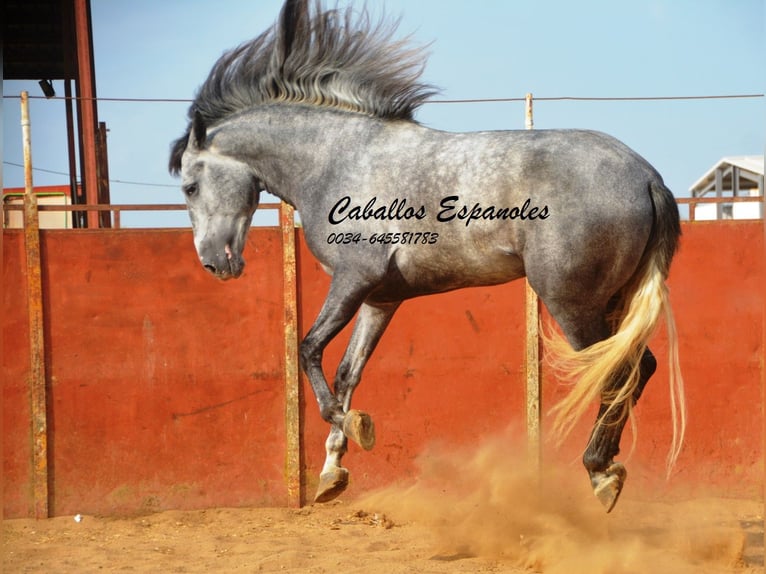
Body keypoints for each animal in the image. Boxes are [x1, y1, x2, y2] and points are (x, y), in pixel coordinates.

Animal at [171, 0, 688, 512]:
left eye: (189, 186)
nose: (216, 264)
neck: (339, 161)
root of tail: (645, 175)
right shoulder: (379, 299)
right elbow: (347, 372)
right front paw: (332, 472)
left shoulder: (352, 279)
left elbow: (308, 348)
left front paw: (352, 425)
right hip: (610, 300)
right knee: (639, 368)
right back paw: (606, 468)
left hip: (571, 301)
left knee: (619, 372)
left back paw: (600, 472)